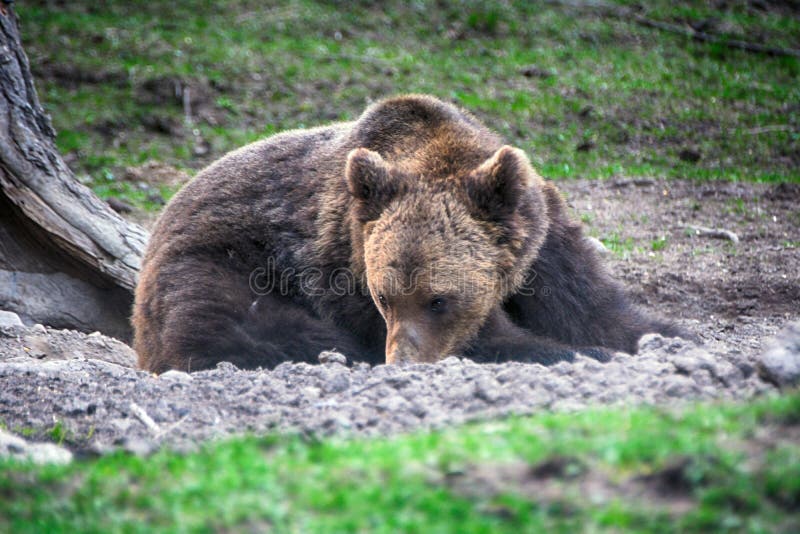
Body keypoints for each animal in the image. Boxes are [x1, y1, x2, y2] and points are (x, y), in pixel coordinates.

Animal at [133, 94, 680, 374]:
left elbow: (593, 308)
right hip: (212, 261)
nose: (402, 360)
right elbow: (492, 338)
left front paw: (663, 335)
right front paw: (571, 351)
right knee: (235, 325)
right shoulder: (341, 258)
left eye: (439, 299)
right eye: (384, 296)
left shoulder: (539, 240)